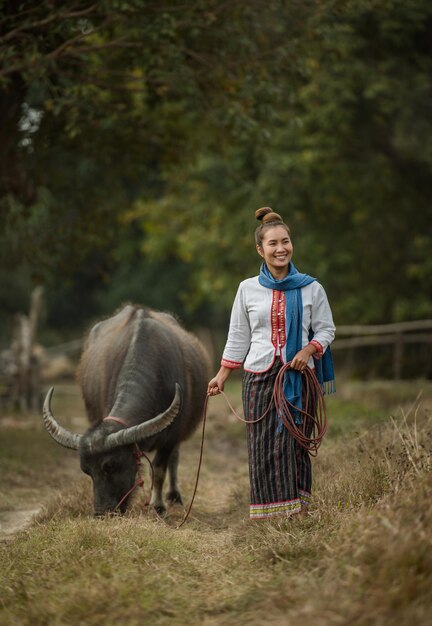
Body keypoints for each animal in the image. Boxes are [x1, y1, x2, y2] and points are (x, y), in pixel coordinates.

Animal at [43, 304, 210, 516]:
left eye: (111, 465)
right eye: (87, 470)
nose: (102, 513)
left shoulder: (171, 436)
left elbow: (159, 470)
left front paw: (158, 507)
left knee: (175, 458)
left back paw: (174, 496)